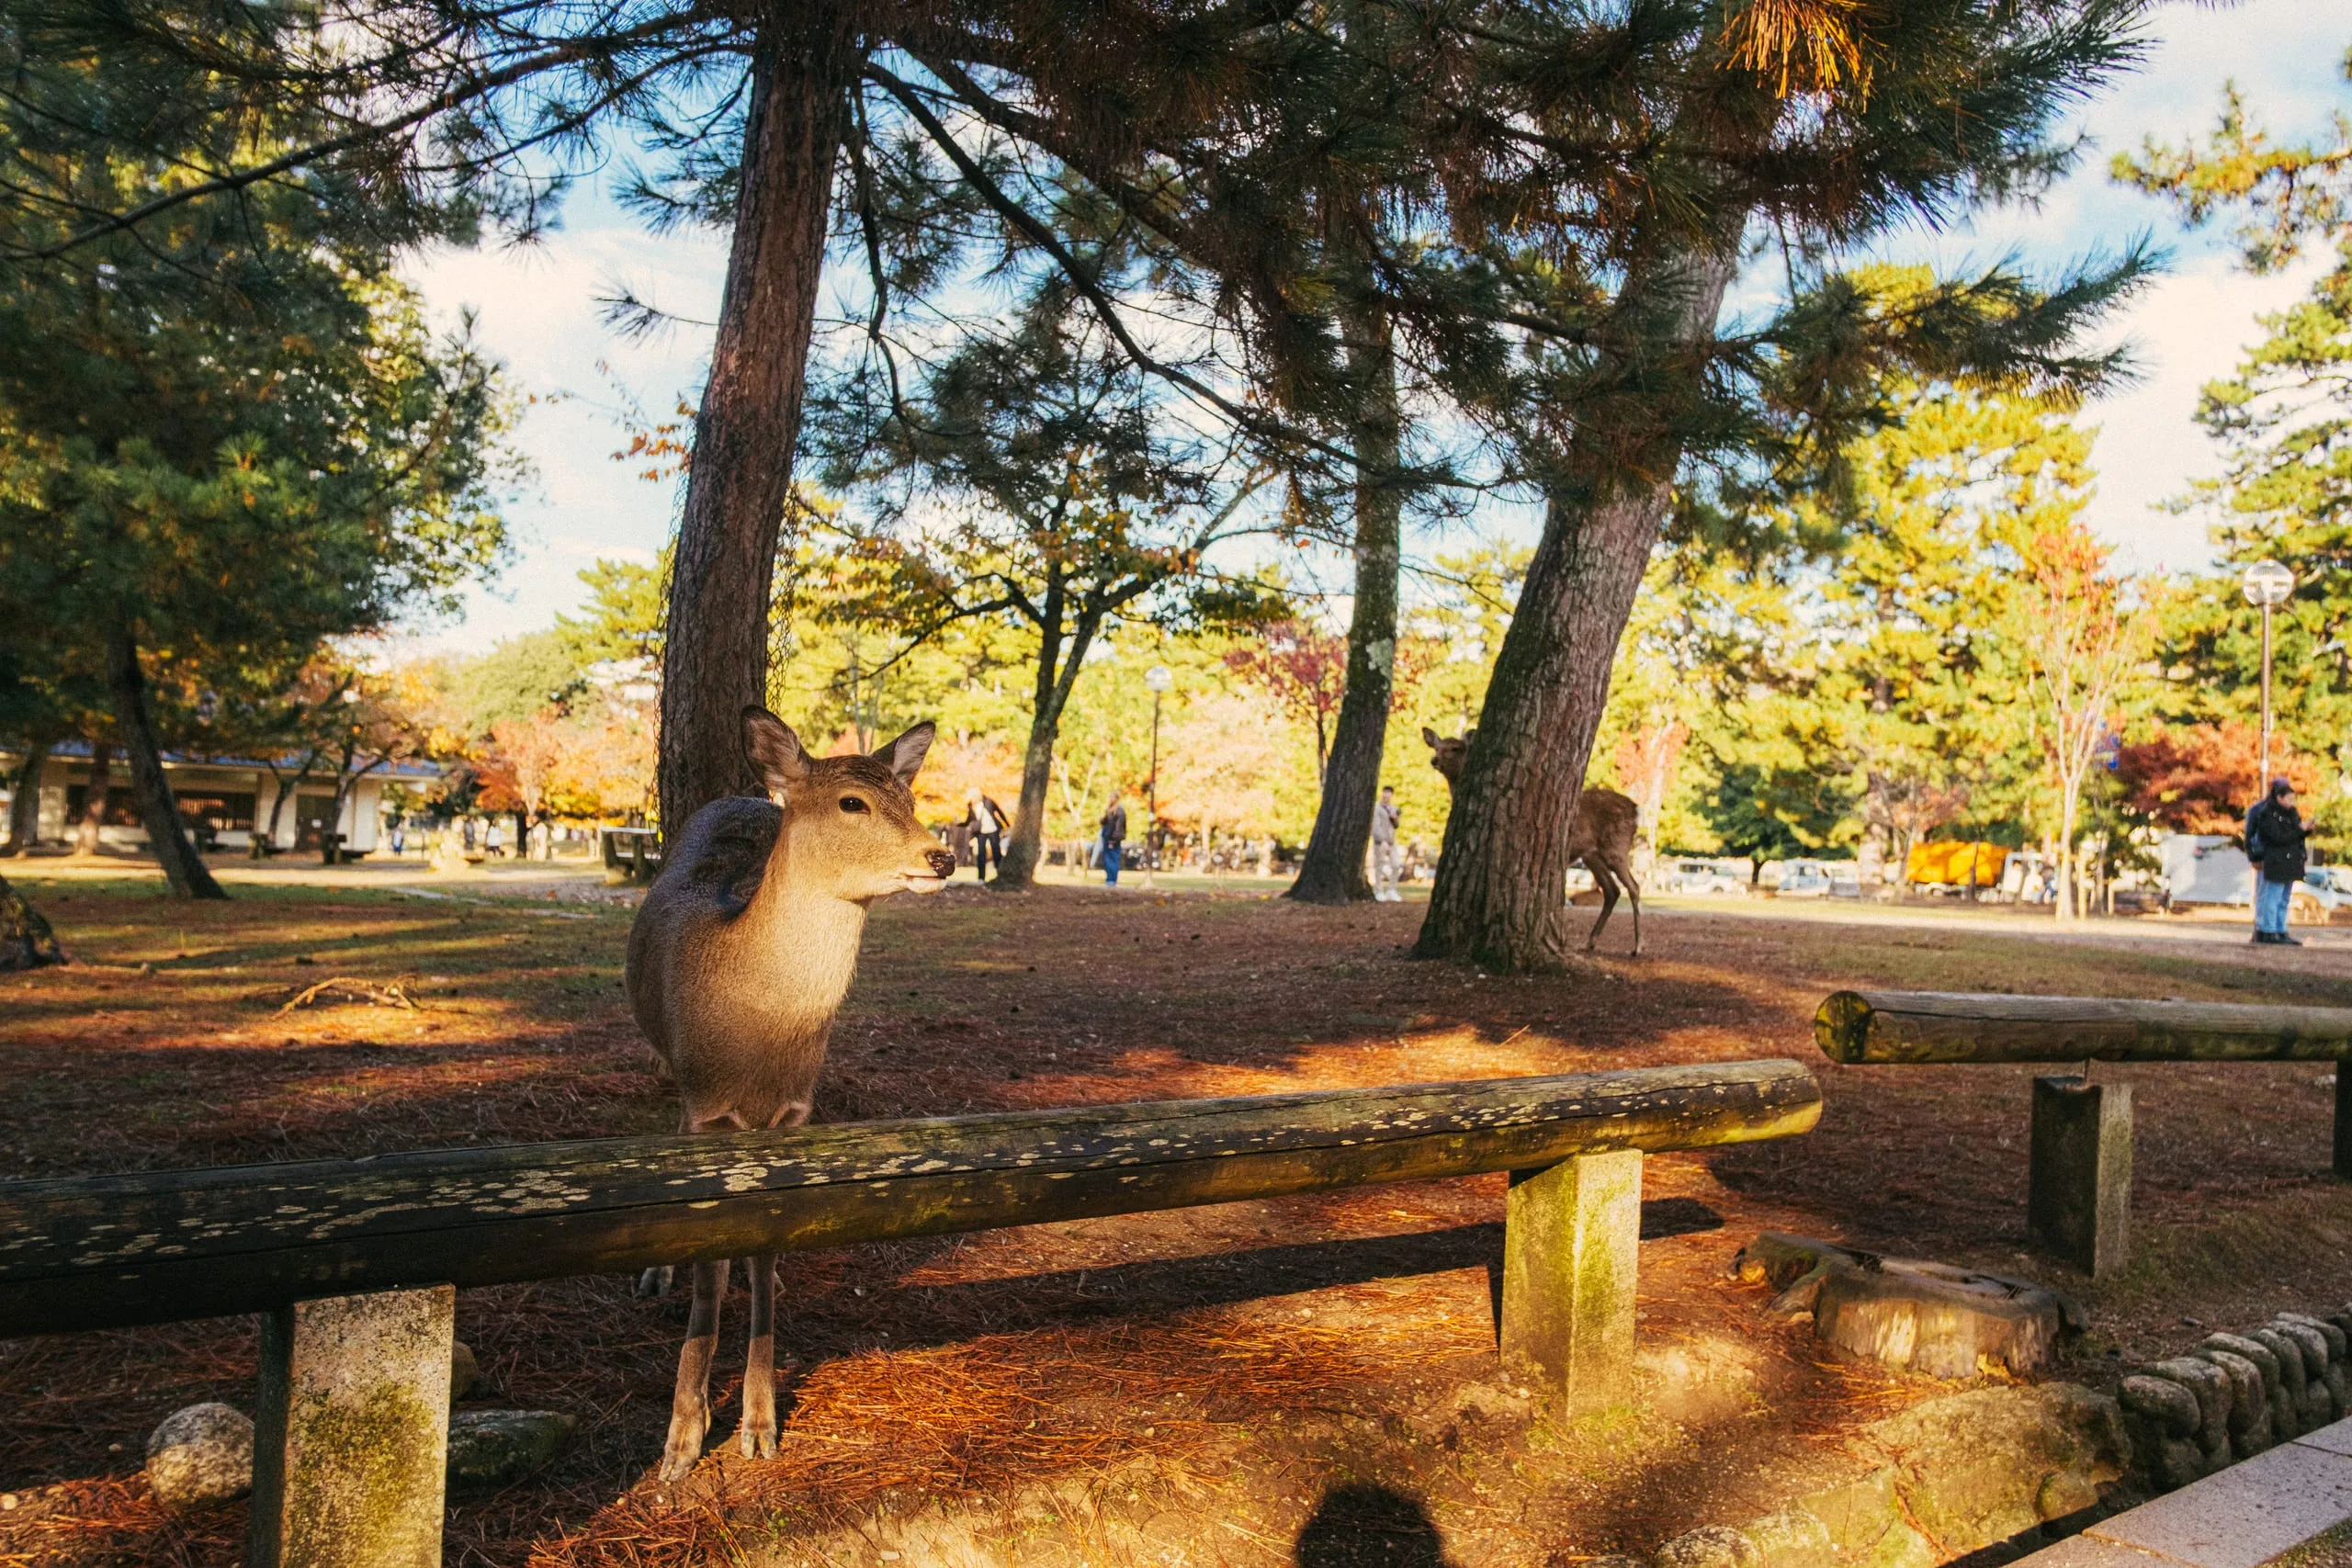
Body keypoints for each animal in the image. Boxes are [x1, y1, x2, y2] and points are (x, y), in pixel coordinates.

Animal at [625, 706, 956, 1483]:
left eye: (909, 795)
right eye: (852, 801)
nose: (942, 857)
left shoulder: (797, 1115)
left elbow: (767, 1243)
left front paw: (759, 1423)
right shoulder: (706, 1106)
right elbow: (708, 1273)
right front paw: (682, 1439)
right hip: (671, 1074)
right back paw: (658, 1271)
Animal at [1420, 727, 1645, 956]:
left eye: (1456, 748)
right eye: (1437, 747)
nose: (1434, 760)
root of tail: (1636, 810)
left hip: (1616, 846)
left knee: (1634, 887)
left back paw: (1637, 946)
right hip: (1593, 855)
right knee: (1612, 891)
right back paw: (1590, 942)